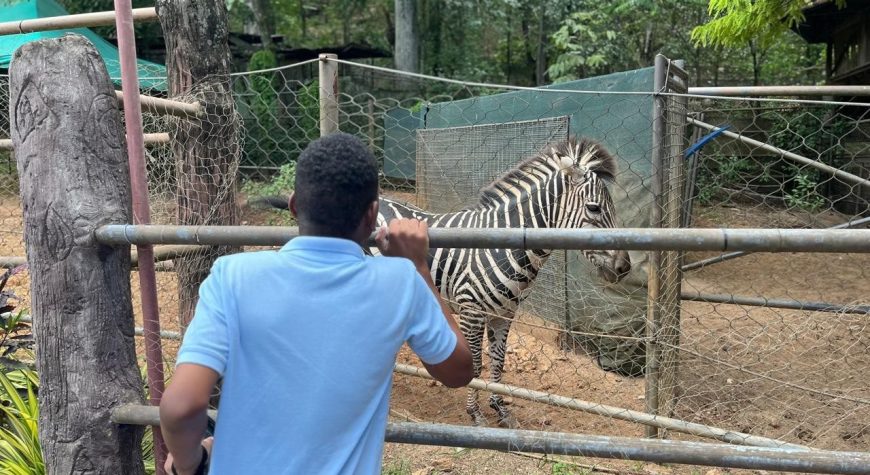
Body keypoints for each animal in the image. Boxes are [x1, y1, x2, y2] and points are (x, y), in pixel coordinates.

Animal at [255, 136, 630, 427]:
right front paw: (475, 414)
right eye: (594, 208)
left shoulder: (504, 314)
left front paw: (500, 409)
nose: (625, 267)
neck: (506, 242)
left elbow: (498, 362)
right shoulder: (470, 309)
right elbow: (476, 363)